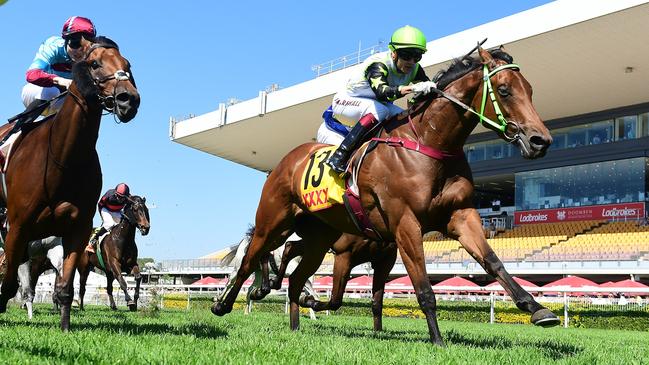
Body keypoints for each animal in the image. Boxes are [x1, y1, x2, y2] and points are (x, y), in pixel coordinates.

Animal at [0, 37, 140, 330]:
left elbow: (65, 287)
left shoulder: (77, 227)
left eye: (128, 65)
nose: (129, 99)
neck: (62, 159)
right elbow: (8, 283)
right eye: (95, 63)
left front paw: (65, 327)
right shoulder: (17, 226)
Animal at [213, 46, 556, 344]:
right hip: (274, 221)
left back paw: (294, 322)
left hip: (319, 237)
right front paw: (438, 341)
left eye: (530, 90)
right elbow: (423, 288)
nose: (540, 140)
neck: (430, 142)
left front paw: (537, 309)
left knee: (296, 276)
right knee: (251, 259)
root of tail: (287, 160)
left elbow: (493, 262)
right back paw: (228, 302)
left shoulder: (459, 216)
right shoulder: (404, 225)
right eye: (504, 90)